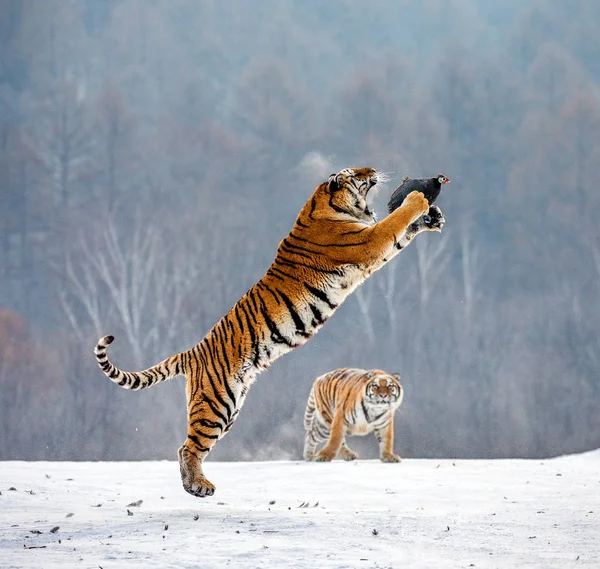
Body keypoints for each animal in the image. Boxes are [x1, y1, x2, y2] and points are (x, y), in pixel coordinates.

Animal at [95, 168, 446, 496]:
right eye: (355, 173)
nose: (372, 170)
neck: (326, 204)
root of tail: (192, 352)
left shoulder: (372, 248)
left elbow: (400, 235)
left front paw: (431, 218)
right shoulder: (366, 243)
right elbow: (393, 223)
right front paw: (418, 201)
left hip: (228, 408)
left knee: (186, 446)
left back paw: (192, 484)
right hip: (216, 403)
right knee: (190, 446)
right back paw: (199, 486)